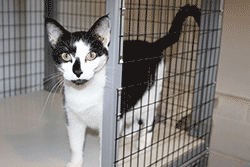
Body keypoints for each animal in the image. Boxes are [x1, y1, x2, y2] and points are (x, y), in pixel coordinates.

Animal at [45, 3, 200, 167]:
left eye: (91, 55)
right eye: (65, 56)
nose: (78, 71)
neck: (84, 91)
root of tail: (152, 45)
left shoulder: (109, 119)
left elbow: (105, 147)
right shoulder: (73, 117)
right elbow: (75, 144)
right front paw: (75, 162)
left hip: (152, 91)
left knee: (149, 115)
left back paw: (143, 142)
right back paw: (129, 132)